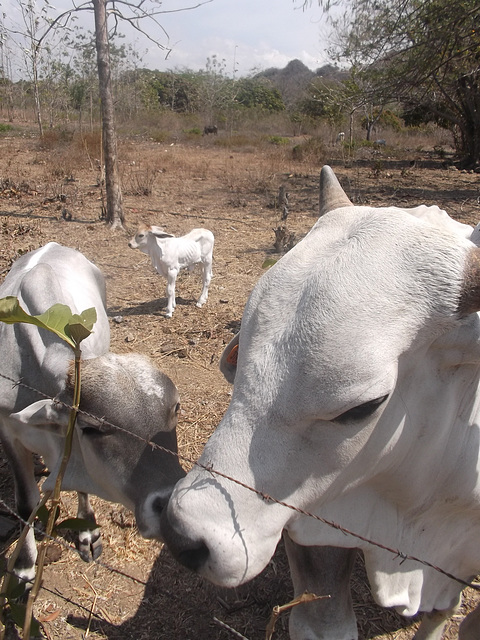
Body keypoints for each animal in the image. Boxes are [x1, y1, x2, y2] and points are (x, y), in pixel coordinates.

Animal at [0, 242, 185, 588]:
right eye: (92, 429)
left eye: (175, 409)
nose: (170, 508)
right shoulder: (8, 432)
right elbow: (25, 501)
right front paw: (24, 566)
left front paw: (87, 532)